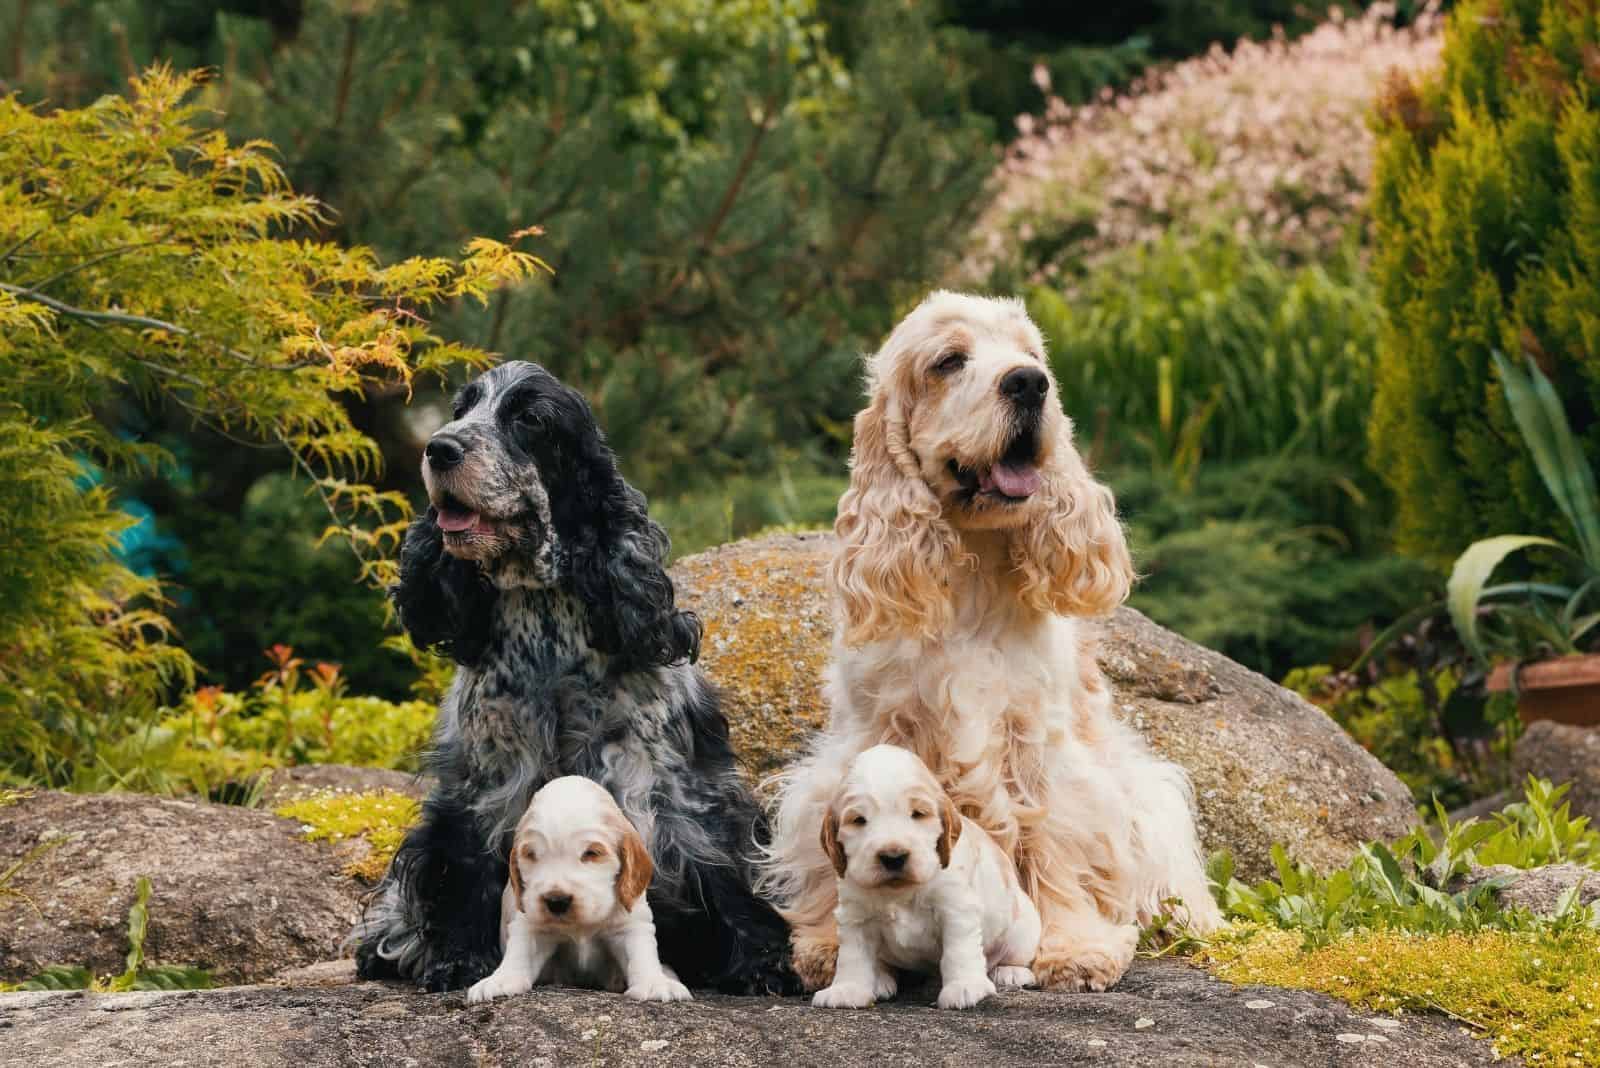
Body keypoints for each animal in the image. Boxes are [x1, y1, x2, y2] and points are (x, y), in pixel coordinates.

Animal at [464, 777, 688, 1004]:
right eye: (531, 854)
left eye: (591, 853)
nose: (556, 901)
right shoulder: (530, 924)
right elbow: (519, 952)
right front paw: (499, 981)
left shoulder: (630, 923)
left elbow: (640, 953)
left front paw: (655, 983)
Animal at [812, 741, 1036, 1010]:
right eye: (859, 820)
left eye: (918, 814)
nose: (893, 857)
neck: (900, 891)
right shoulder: (855, 915)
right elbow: (852, 957)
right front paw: (846, 990)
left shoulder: (955, 908)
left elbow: (958, 951)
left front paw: (964, 987)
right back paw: (880, 978)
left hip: (1023, 929)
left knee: (1013, 955)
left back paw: (1010, 971)